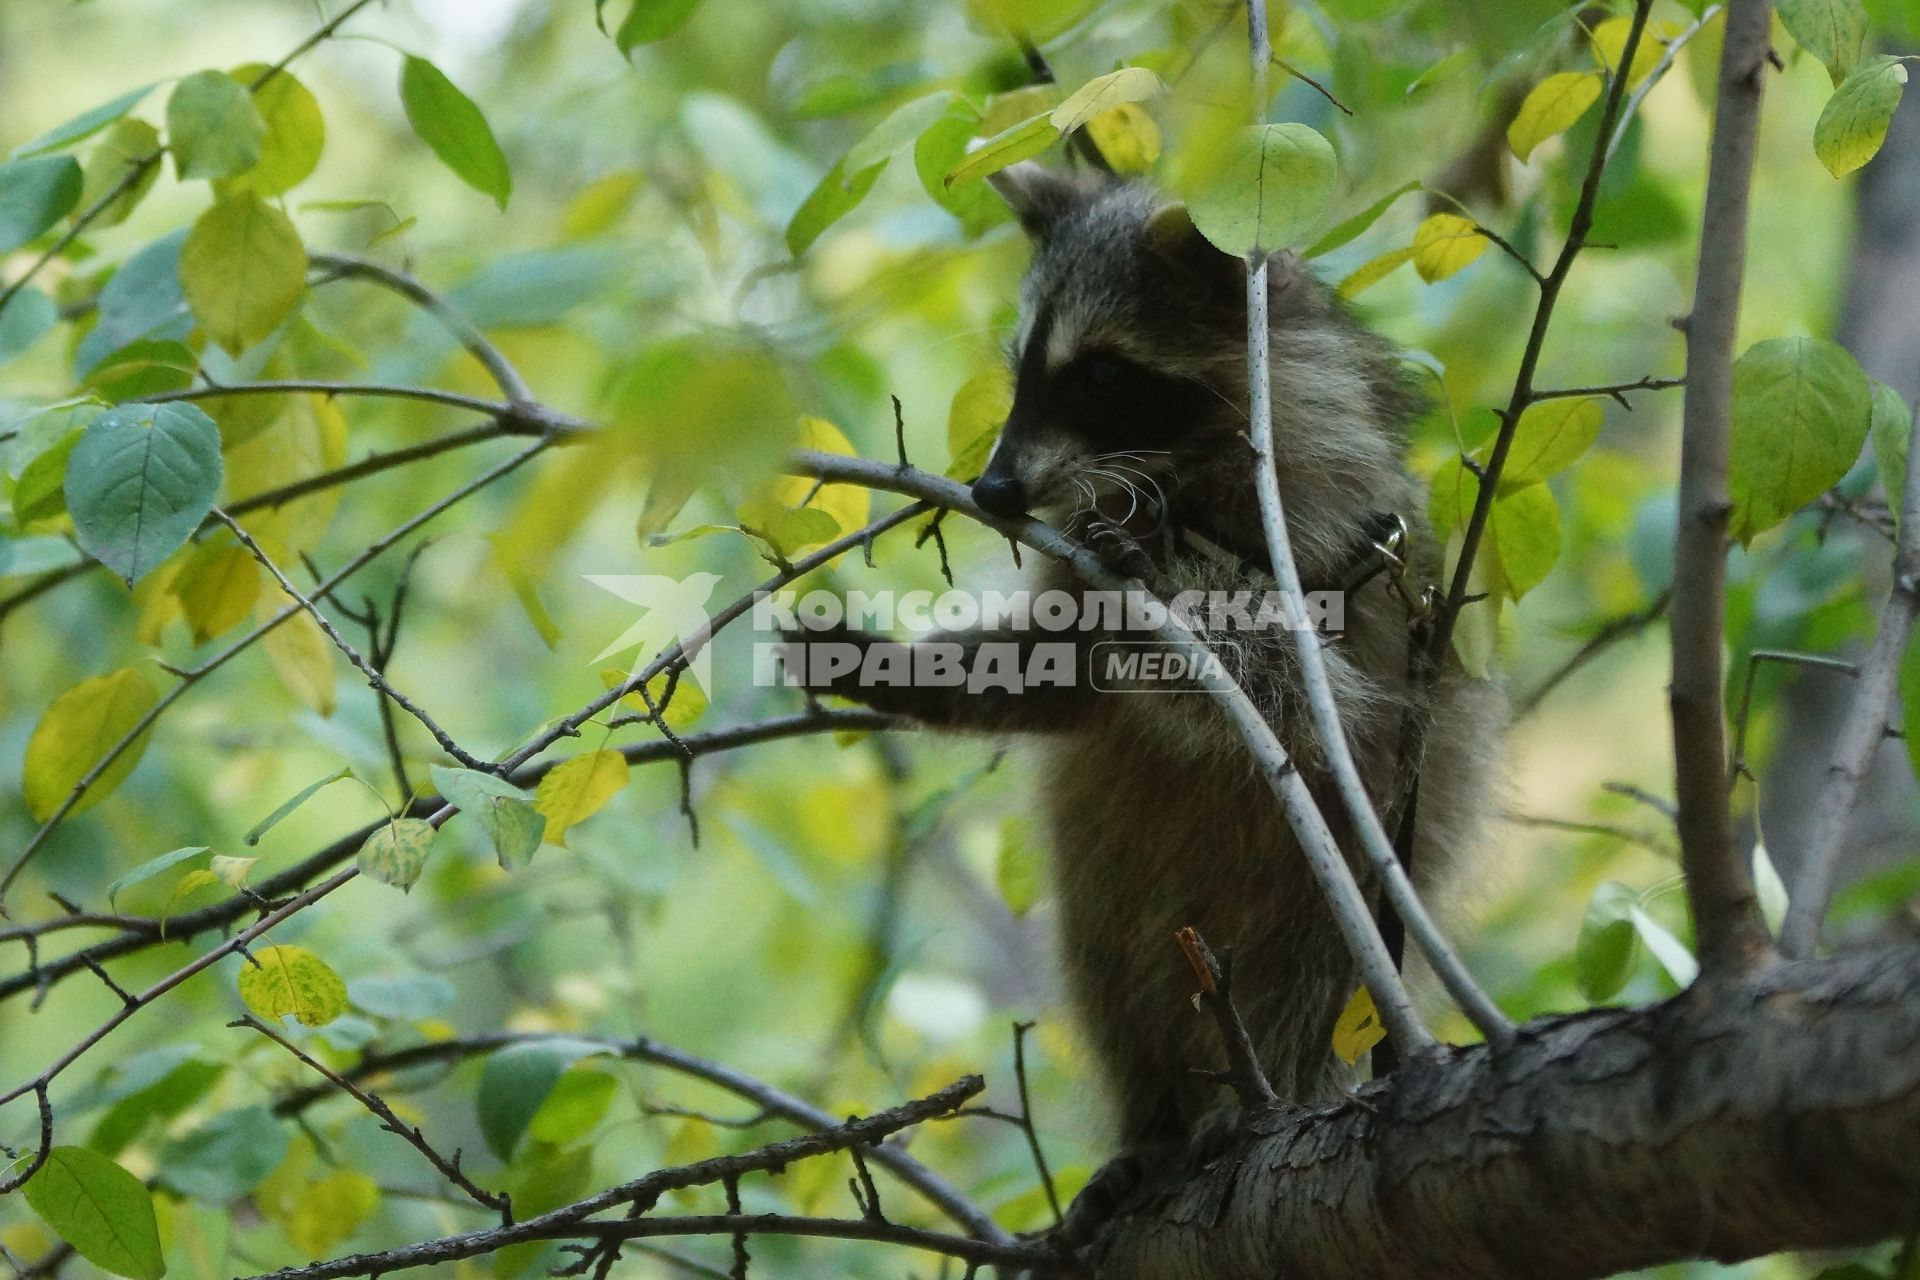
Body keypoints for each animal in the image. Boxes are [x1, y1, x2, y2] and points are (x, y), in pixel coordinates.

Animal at [791, 165, 1497, 1159]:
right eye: (1022, 368)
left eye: (1099, 373)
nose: (992, 491)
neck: (1176, 462)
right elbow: (1055, 675)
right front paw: (900, 667)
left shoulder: (1340, 547)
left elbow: (1302, 692)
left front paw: (1167, 572)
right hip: (1107, 907)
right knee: (1112, 982)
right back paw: (1152, 1118)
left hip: (1356, 885)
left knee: (1309, 981)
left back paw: (1269, 1088)